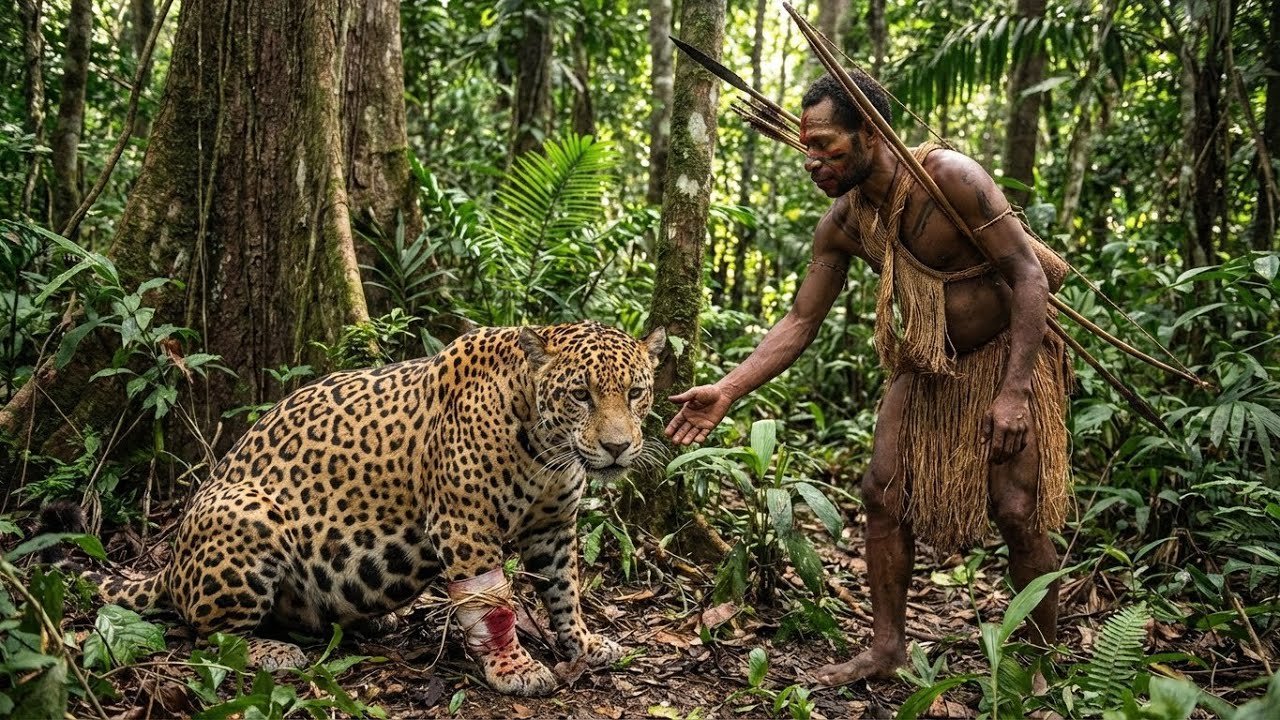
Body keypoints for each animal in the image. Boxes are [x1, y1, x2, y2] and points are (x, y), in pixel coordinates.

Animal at [44, 321, 667, 696]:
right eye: (581, 394)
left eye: (635, 392)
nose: (617, 447)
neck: (544, 447)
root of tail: (171, 562)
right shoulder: (464, 526)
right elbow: (493, 603)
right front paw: (514, 667)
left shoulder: (554, 527)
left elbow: (566, 591)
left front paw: (584, 644)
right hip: (248, 514)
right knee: (205, 634)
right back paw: (271, 652)